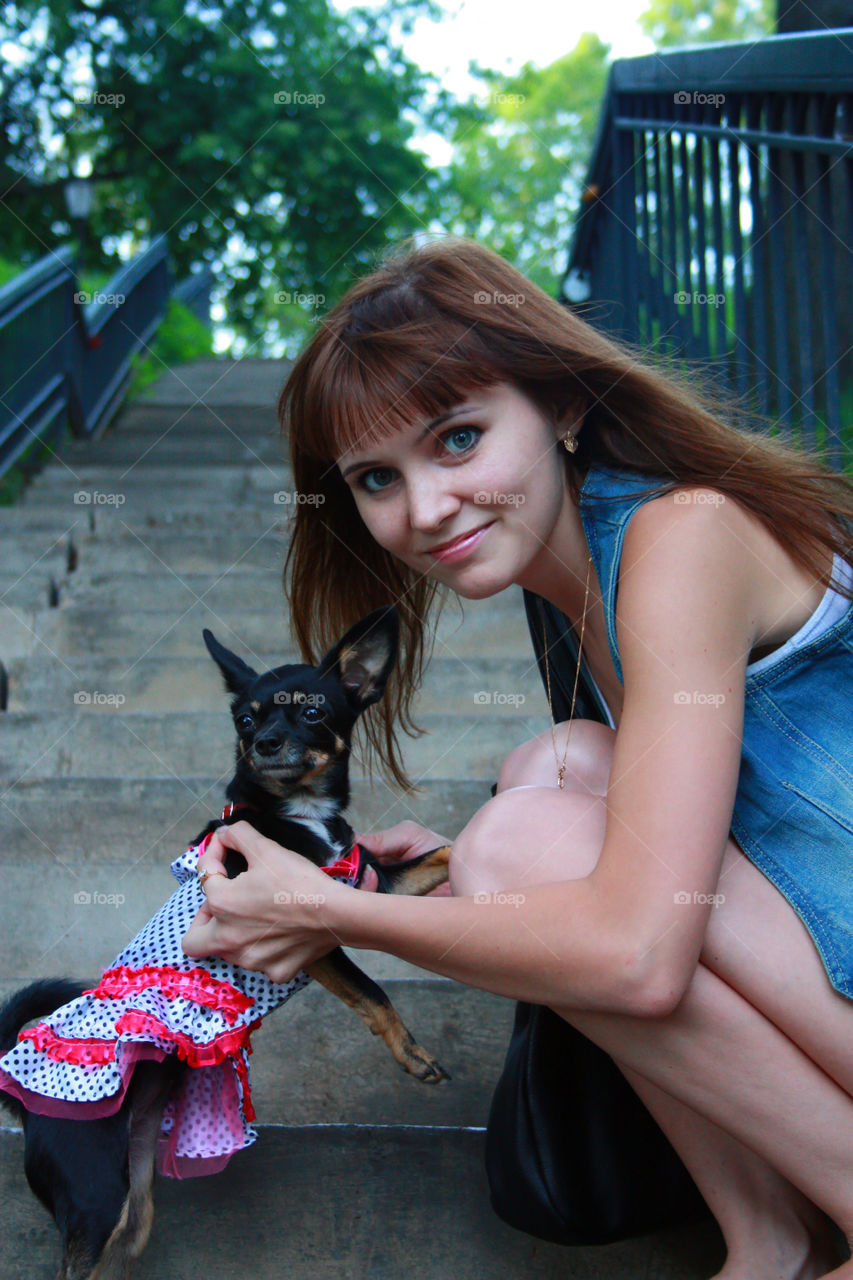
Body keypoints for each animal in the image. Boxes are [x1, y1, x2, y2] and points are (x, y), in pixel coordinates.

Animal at [0, 609, 450, 1280]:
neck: (300, 812)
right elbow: (374, 993)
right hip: (96, 1199)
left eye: (312, 711)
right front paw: (413, 1056)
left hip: (131, 1210)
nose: (264, 744)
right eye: (246, 720)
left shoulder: (372, 885)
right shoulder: (307, 932)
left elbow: (441, 854)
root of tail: (27, 1111)